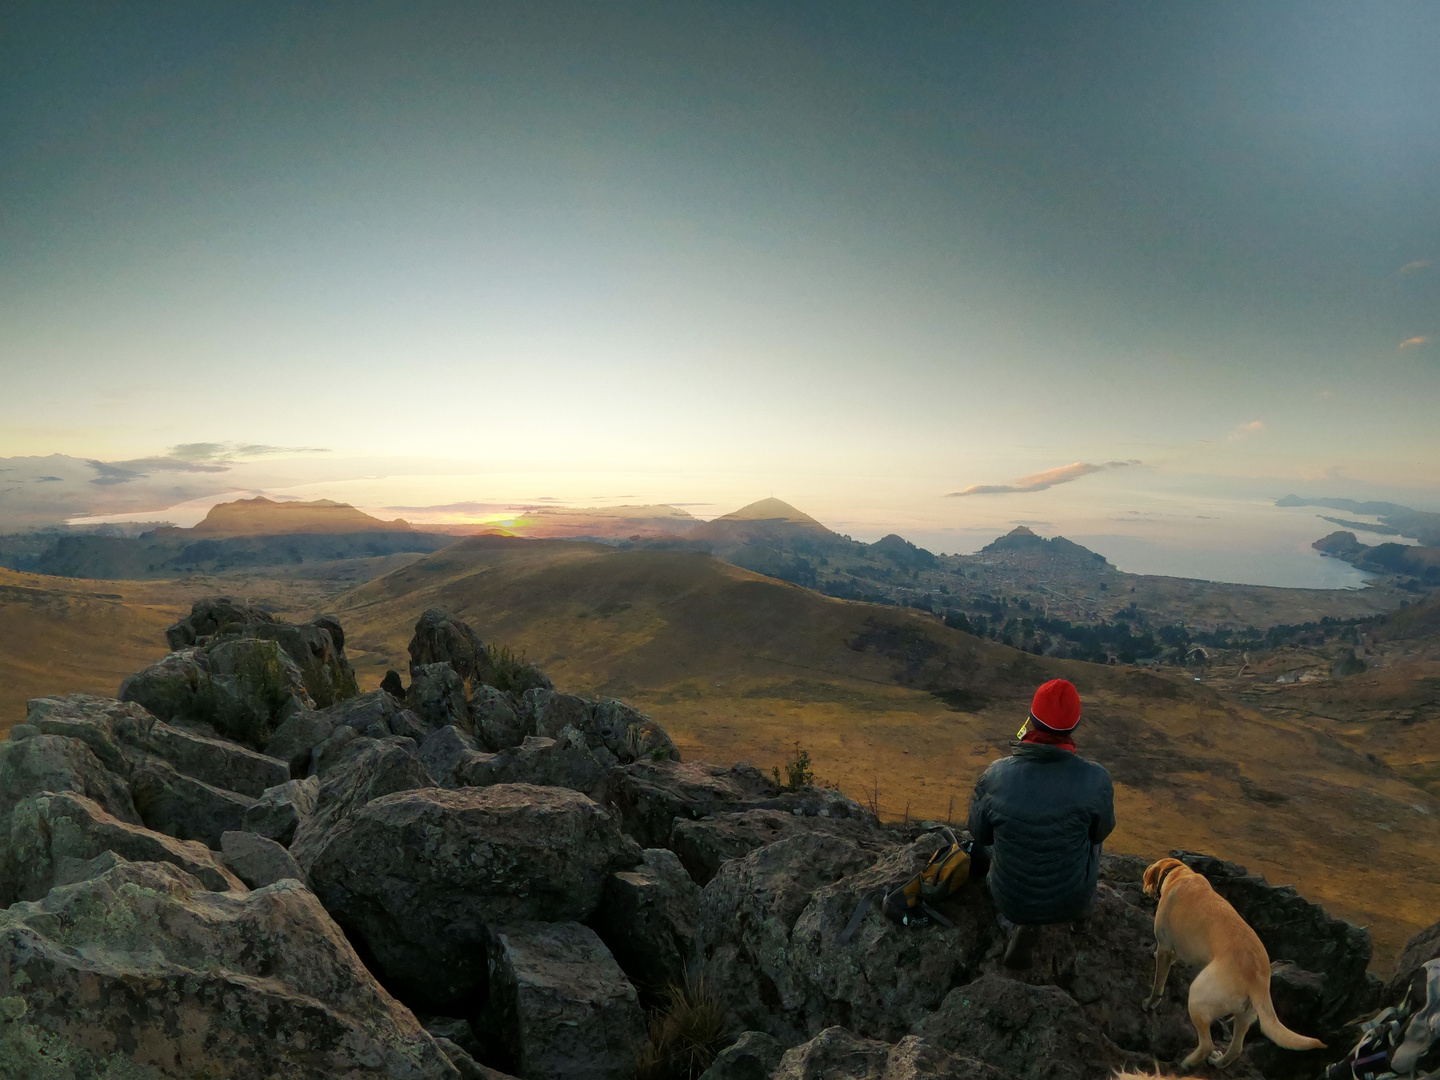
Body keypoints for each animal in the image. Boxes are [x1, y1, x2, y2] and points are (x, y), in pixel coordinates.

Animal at [1140, 858, 1319, 1071]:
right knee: (1236, 1049)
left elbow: (1158, 984)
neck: (1178, 873)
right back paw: (1218, 1062)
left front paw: (1149, 1003)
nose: (1144, 889)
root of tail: (1256, 978)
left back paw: (1187, 1063)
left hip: (1198, 998)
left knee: (1207, 1044)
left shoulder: (1165, 947)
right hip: (1245, 1016)